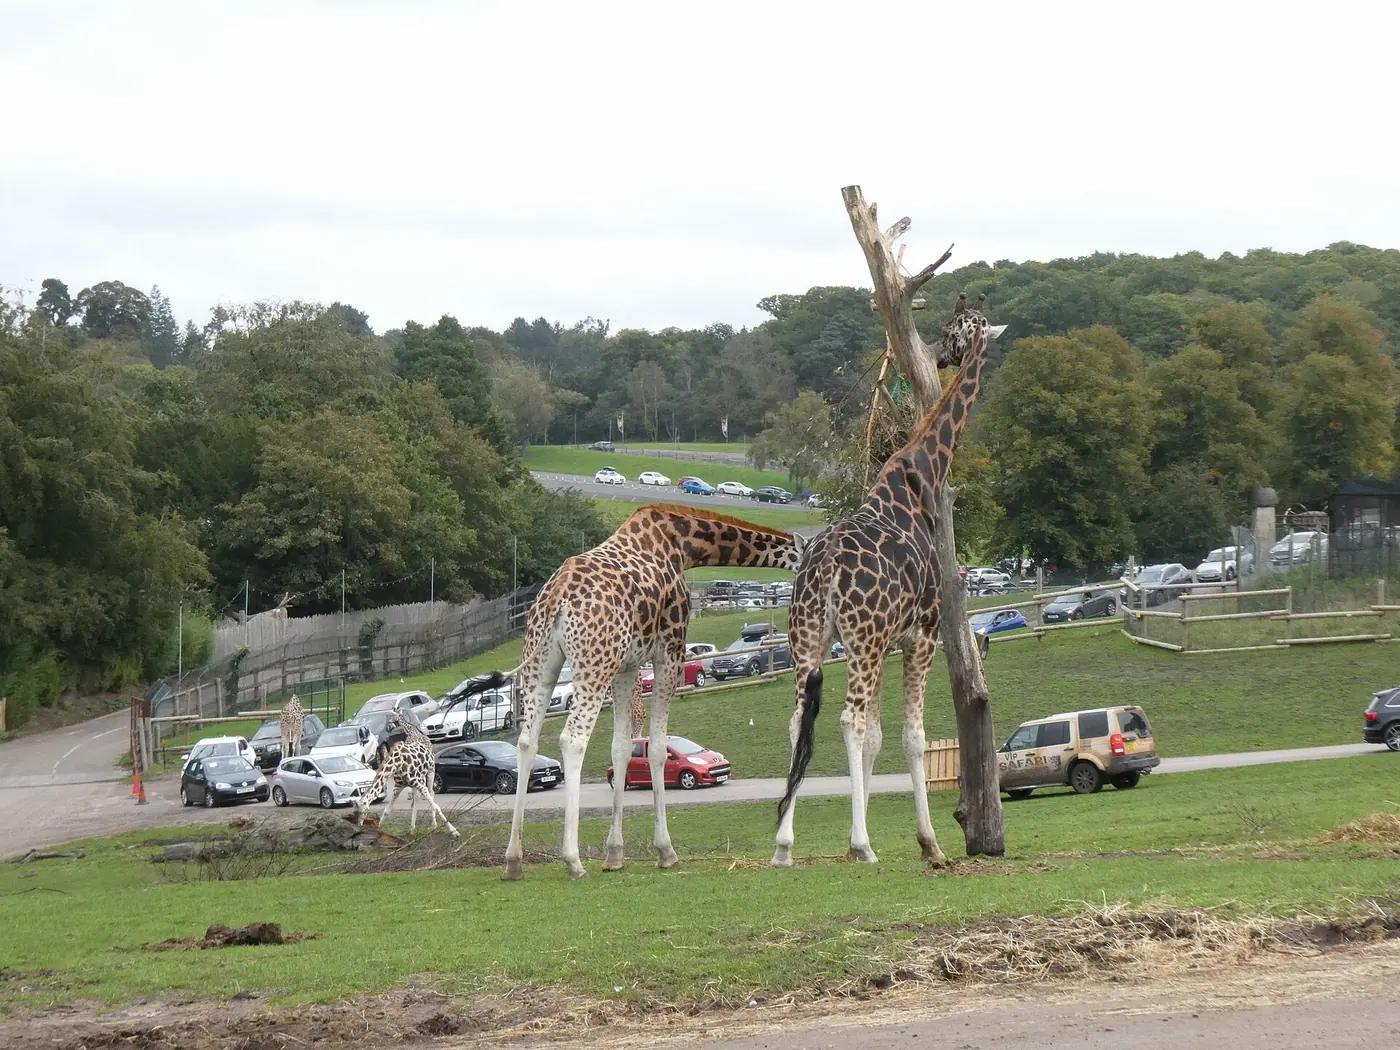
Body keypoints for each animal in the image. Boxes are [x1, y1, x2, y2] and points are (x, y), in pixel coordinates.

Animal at [355, 699, 462, 837]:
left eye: (362, 811)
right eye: (355, 812)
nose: (359, 826)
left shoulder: (419, 782)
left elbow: (435, 806)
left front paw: (454, 831)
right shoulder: (398, 786)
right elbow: (387, 810)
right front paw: (379, 830)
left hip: (430, 770)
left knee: (431, 794)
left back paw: (433, 825)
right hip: (418, 780)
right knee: (416, 799)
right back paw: (412, 828)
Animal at [502, 504, 806, 880]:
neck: (685, 546)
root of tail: (556, 600)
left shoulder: (627, 665)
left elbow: (621, 747)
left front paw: (614, 854)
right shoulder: (669, 650)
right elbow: (659, 748)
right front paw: (666, 851)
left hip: (542, 665)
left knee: (527, 740)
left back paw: (514, 860)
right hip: (593, 663)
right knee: (572, 739)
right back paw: (572, 860)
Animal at [772, 297, 1005, 868]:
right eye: (951, 330)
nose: (942, 355)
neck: (924, 472)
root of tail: (825, 569)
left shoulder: (889, 642)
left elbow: (879, 737)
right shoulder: (919, 636)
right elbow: (910, 737)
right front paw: (928, 843)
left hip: (810, 638)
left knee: (799, 719)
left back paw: (784, 844)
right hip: (862, 639)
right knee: (848, 720)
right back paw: (862, 845)